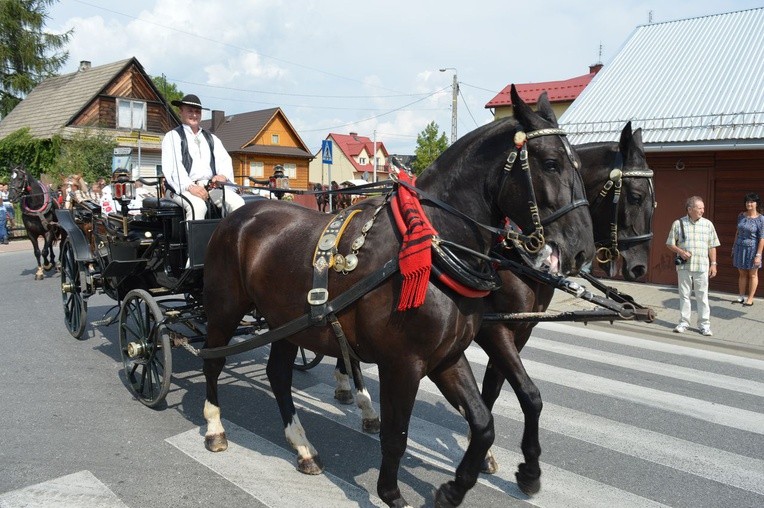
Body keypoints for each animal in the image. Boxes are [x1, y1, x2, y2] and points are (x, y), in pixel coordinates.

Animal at [200, 85, 592, 506]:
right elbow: (397, 435)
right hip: (224, 309)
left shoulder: (447, 357)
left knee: (277, 373)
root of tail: (239, 214)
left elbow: (484, 422)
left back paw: (302, 446)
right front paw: (391, 492)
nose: (582, 250)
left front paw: (456, 488)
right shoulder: (403, 364)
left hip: (287, 322)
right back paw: (215, 428)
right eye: (551, 164)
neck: (433, 248)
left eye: (579, 165)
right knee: (213, 360)